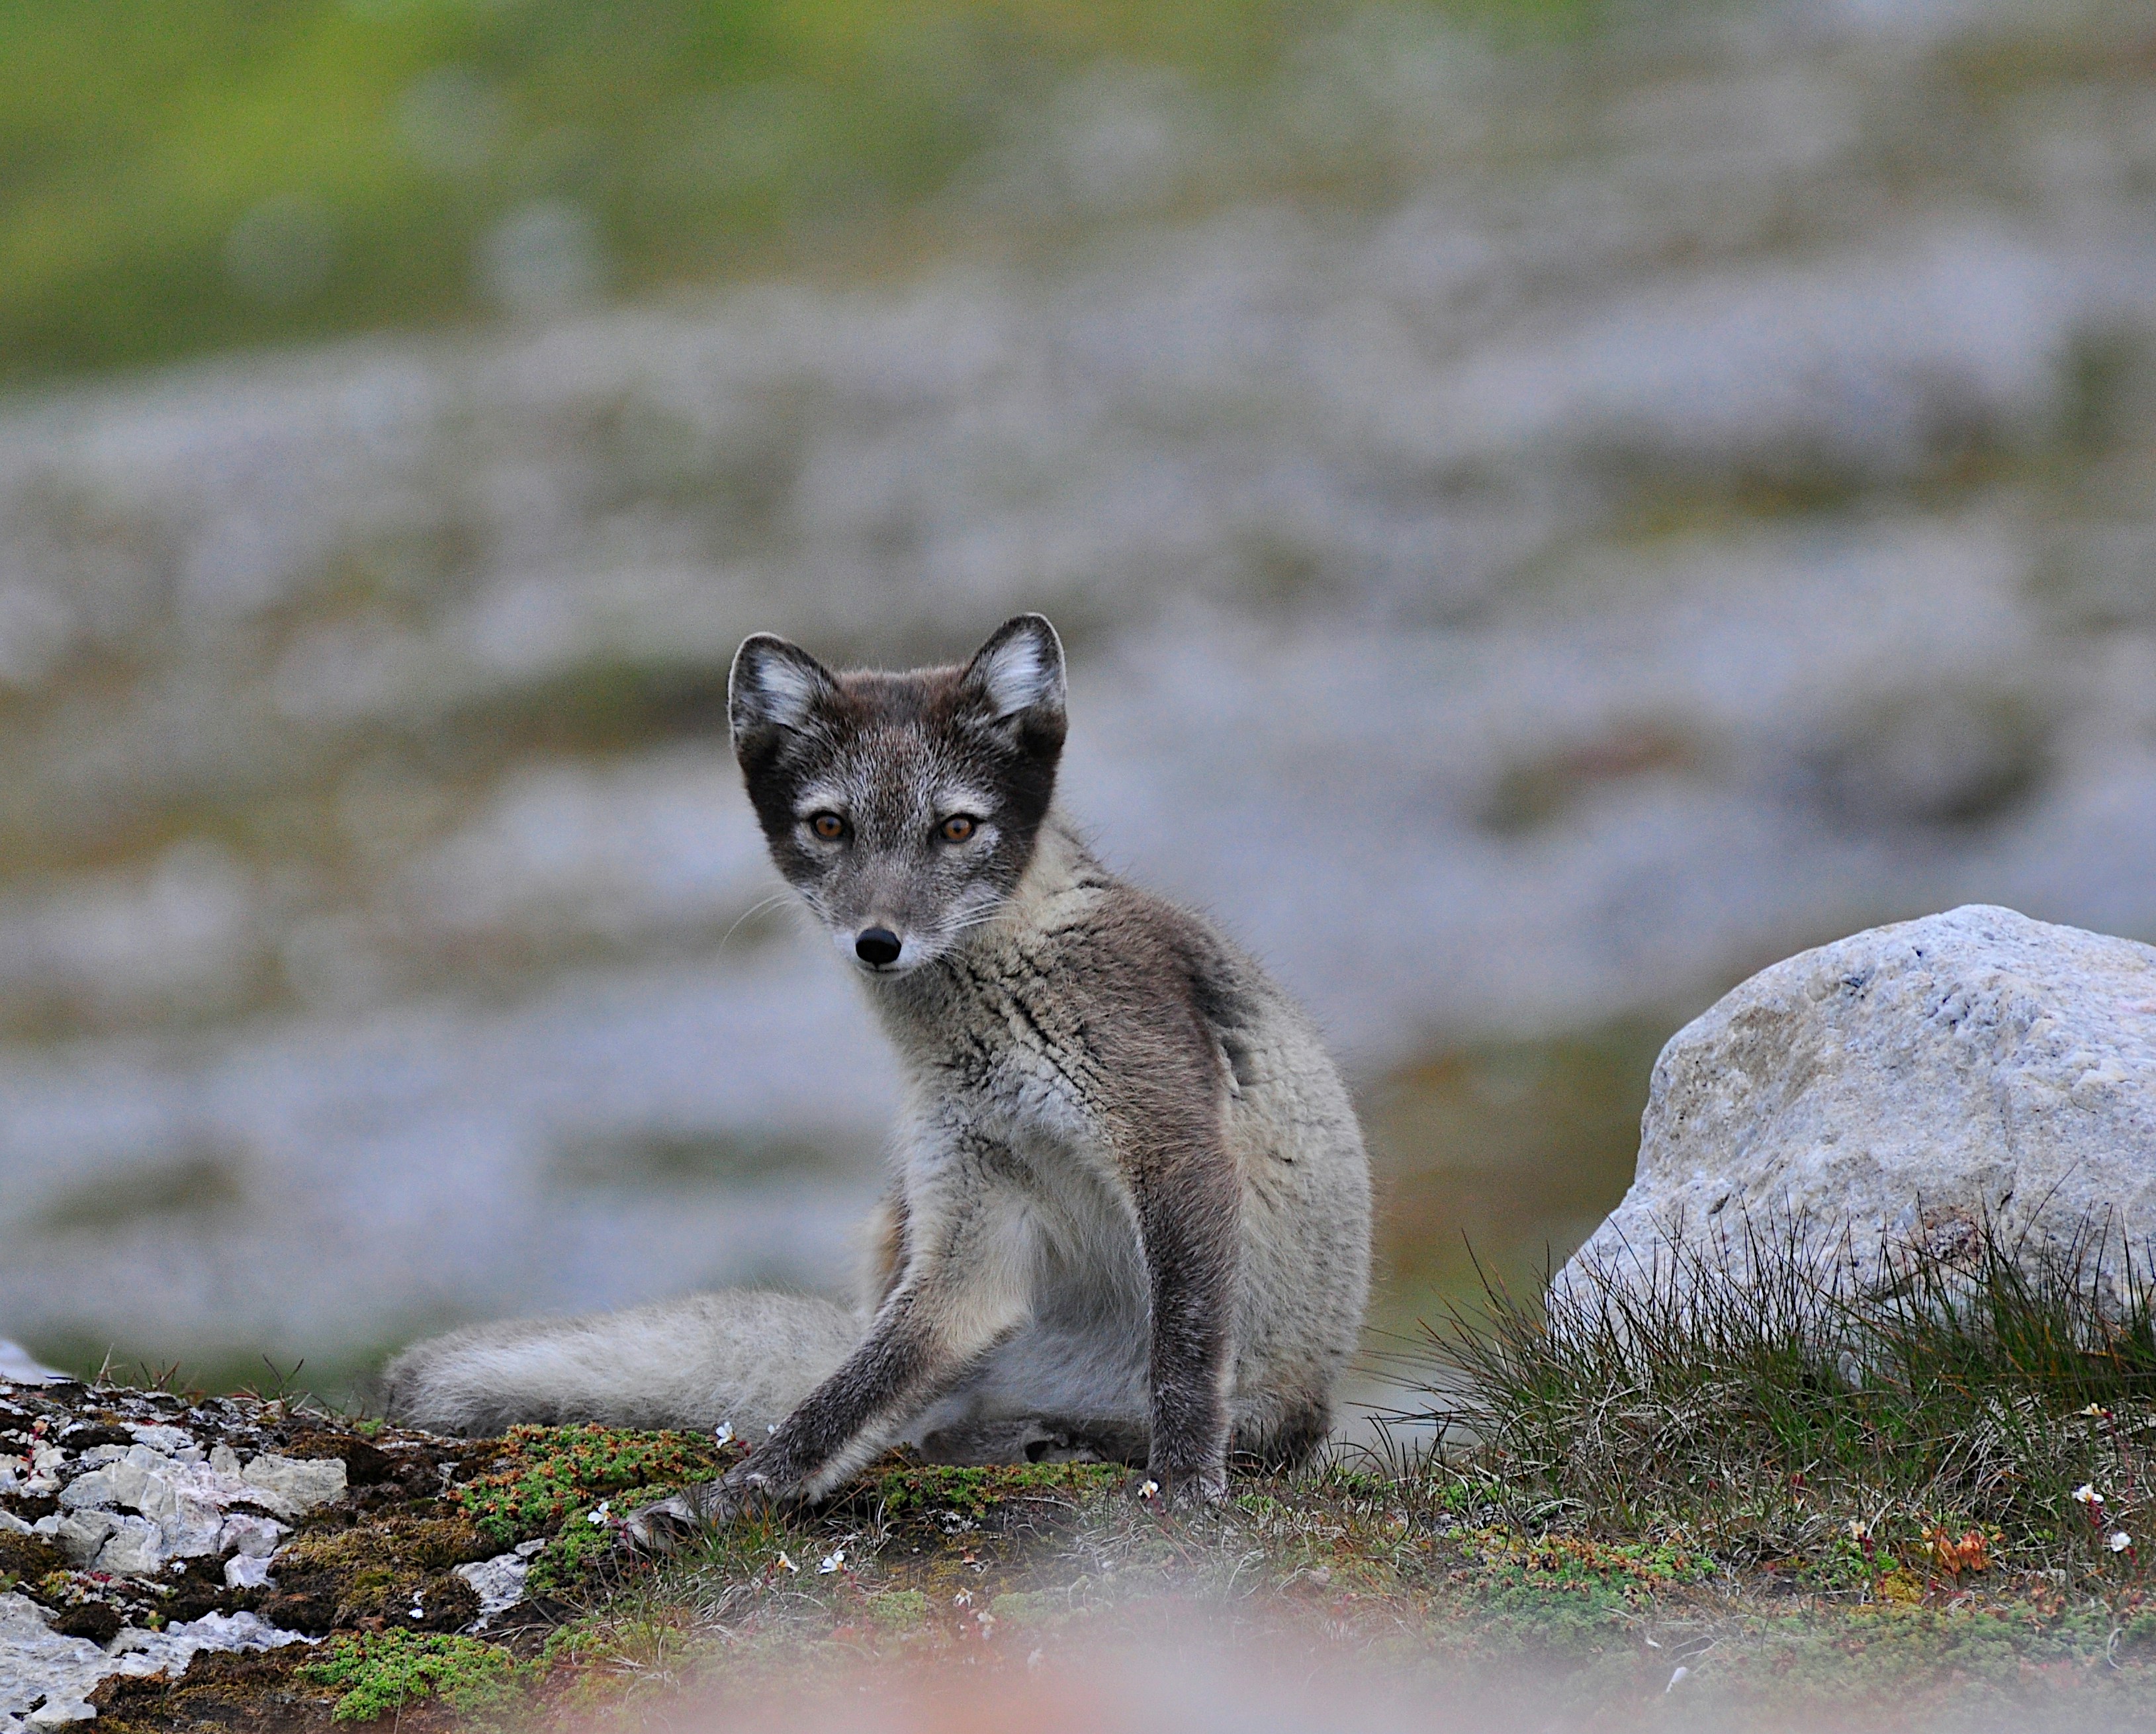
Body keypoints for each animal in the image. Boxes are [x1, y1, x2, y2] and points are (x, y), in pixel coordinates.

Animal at [382, 614, 1371, 1517]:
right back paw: (1008, 1439)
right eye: (829, 825)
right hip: (902, 1236)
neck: (991, 1019)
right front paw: (737, 1495)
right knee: (913, 1409)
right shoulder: (972, 1212)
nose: (878, 942)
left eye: (958, 827)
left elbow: (1185, 1355)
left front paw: (1185, 1485)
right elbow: (845, 1396)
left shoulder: (1171, 1145)